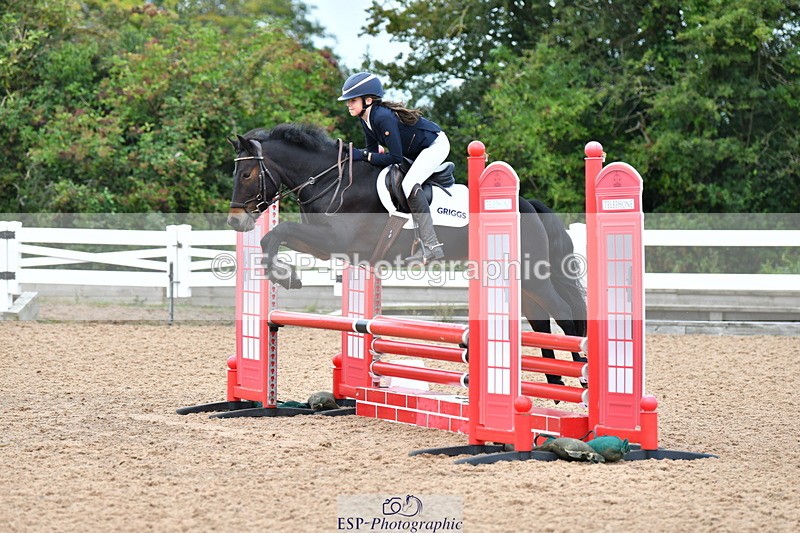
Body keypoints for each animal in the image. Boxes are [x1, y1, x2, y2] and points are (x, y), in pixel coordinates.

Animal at [226, 123, 586, 386]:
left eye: (246, 174)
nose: (235, 221)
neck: (332, 181)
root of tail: (529, 205)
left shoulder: (334, 239)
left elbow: (277, 233)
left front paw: (286, 277)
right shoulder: (326, 246)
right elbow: (271, 239)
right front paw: (286, 275)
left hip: (531, 275)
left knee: (564, 313)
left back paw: (582, 376)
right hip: (520, 279)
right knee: (539, 320)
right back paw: (555, 383)